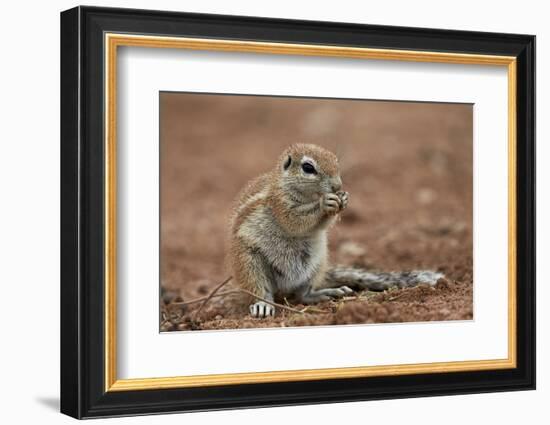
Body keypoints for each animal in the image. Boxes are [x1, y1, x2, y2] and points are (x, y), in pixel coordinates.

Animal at [229, 144, 444, 316]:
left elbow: (321, 225)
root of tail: (284, 288)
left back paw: (323, 293)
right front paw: (325, 203)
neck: (307, 196)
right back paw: (262, 305)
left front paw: (344, 199)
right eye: (308, 168)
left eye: (335, 161)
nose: (337, 185)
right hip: (249, 263)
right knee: (260, 290)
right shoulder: (280, 203)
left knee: (302, 295)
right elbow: (294, 220)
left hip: (316, 263)